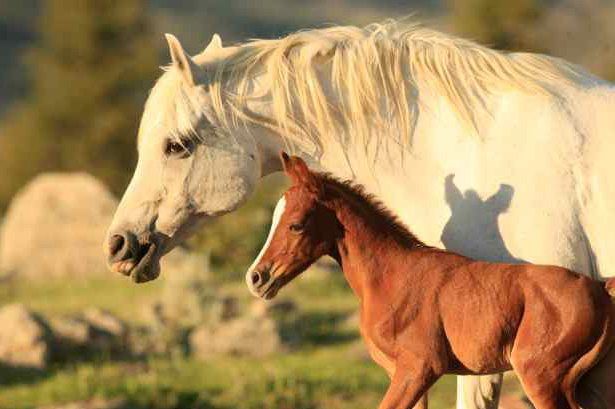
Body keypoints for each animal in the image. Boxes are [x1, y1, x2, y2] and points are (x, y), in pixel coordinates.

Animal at [247, 153, 615, 408]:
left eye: (295, 224)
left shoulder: (420, 367)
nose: (257, 277)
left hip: (541, 376)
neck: (392, 277)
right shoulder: (403, 374)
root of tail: (599, 287)